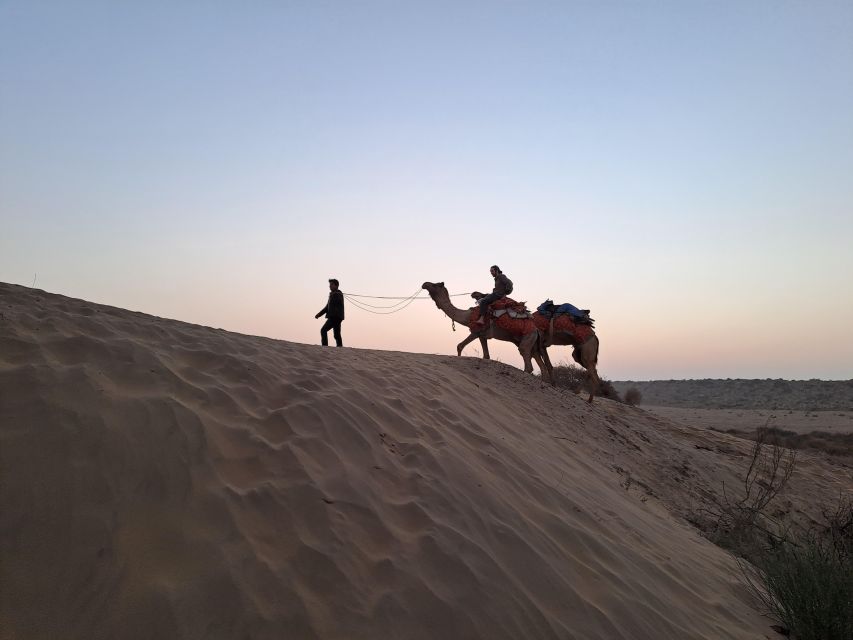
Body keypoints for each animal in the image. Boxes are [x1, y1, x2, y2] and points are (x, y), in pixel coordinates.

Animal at [422, 282, 552, 382]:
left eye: (435, 284)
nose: (424, 284)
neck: (467, 316)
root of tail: (536, 329)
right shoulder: (482, 335)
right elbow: (486, 356)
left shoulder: (475, 331)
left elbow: (459, 346)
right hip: (532, 341)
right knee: (539, 362)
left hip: (528, 337)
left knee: (526, 356)